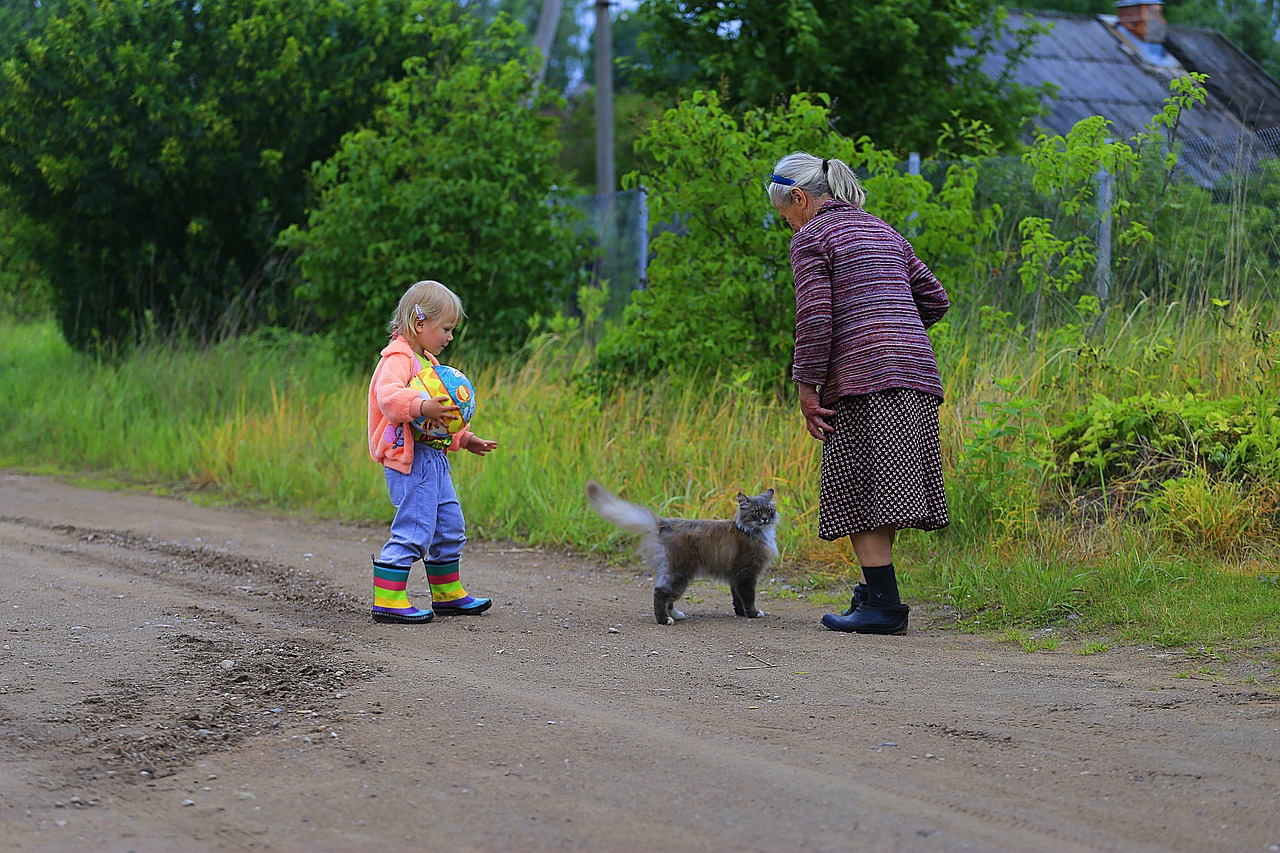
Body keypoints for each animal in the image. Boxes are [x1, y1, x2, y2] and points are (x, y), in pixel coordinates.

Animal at [583, 479, 778, 625]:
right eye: (755, 512)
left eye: (769, 510)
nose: (765, 519)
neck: (752, 531)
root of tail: (663, 523)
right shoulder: (747, 573)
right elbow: (748, 597)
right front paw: (753, 613)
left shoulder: (736, 576)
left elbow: (737, 598)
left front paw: (741, 613)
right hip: (680, 572)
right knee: (660, 592)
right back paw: (664, 620)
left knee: (668, 598)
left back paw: (676, 615)